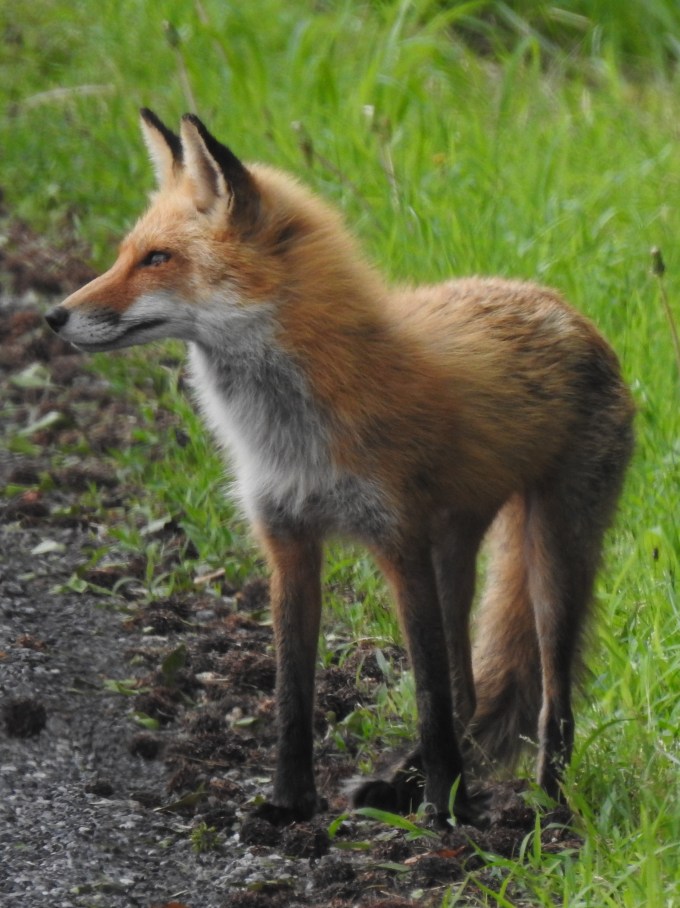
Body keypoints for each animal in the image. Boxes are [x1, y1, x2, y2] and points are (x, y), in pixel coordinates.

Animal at [45, 109, 634, 826]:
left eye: (157, 259)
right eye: (125, 253)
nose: (54, 315)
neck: (289, 431)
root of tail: (562, 305)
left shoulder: (399, 542)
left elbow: (429, 697)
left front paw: (443, 814)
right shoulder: (288, 541)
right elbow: (293, 695)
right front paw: (290, 803)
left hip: (549, 558)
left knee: (552, 702)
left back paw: (542, 810)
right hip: (456, 550)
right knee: (470, 693)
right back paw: (410, 787)